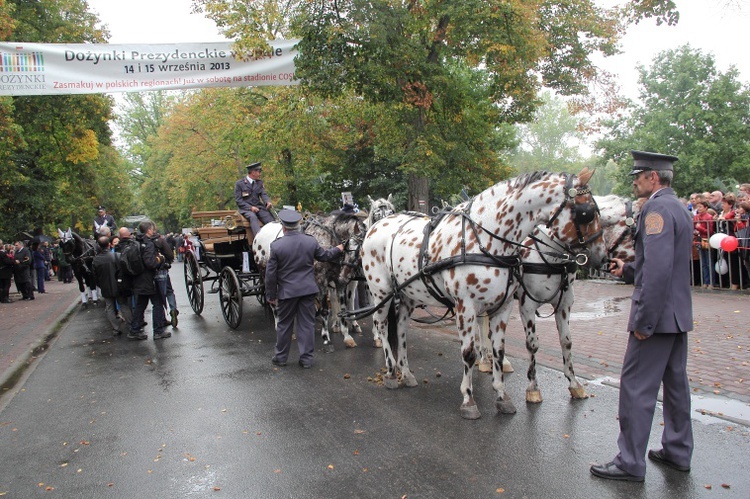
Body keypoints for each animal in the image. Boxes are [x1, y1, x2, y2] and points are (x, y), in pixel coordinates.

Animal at [360, 170, 612, 420]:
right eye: (587, 213)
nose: (603, 257)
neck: (485, 238)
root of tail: (376, 226)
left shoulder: (507, 306)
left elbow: (500, 350)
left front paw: (502, 396)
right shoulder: (469, 307)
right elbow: (469, 352)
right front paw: (468, 399)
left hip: (409, 296)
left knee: (402, 329)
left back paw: (406, 372)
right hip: (380, 291)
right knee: (382, 326)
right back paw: (391, 371)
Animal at [478, 193, 644, 404]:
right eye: (635, 232)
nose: (604, 260)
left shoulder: (565, 303)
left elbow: (566, 341)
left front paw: (574, 384)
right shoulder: (527, 305)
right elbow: (532, 344)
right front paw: (533, 388)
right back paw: (484, 359)